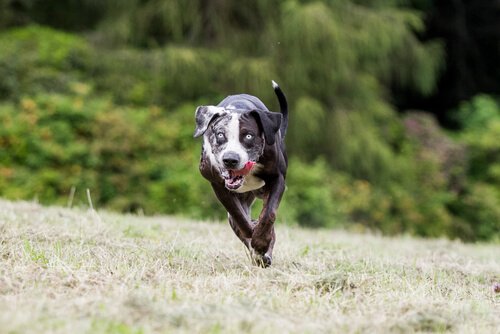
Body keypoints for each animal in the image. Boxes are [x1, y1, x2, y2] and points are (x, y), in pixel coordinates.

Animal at [195, 81, 290, 266]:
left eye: (248, 136)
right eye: (220, 135)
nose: (230, 159)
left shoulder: (278, 179)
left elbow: (269, 214)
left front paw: (261, 241)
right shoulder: (219, 185)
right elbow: (239, 216)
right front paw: (255, 238)